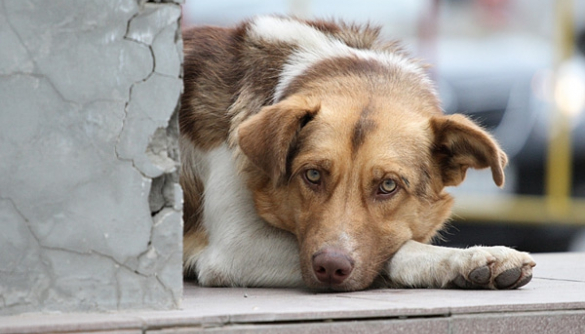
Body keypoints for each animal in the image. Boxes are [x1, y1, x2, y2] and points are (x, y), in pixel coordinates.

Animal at [180, 17, 536, 290]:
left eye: (389, 185)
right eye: (312, 175)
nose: (330, 268)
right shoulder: (236, 247)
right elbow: (399, 251)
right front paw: (463, 258)